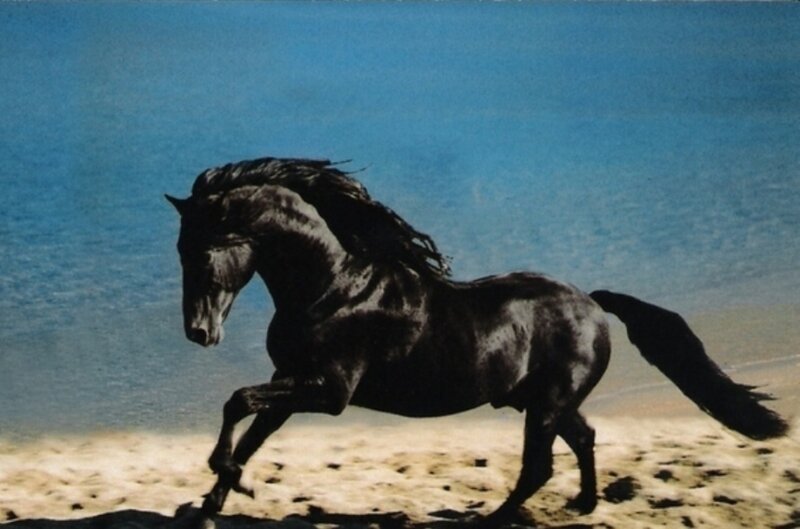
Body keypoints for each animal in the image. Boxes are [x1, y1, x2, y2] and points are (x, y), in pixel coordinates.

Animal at [166, 157, 787, 527]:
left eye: (202, 250)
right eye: (179, 250)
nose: (200, 333)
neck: (333, 290)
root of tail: (591, 302)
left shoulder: (328, 391)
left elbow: (237, 404)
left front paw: (227, 480)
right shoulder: (291, 382)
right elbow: (253, 432)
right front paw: (216, 500)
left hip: (546, 404)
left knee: (539, 466)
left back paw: (496, 518)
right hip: (547, 401)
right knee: (584, 438)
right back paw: (584, 504)